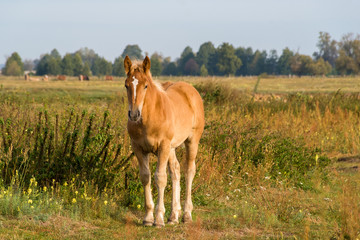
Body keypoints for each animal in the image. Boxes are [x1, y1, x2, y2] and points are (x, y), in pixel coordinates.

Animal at [124, 55, 204, 227]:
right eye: (126, 85)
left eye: (146, 85)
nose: (134, 114)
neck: (150, 116)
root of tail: (191, 90)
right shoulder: (138, 148)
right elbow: (145, 177)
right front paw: (148, 218)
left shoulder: (163, 146)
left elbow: (160, 178)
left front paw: (159, 219)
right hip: (171, 148)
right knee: (176, 170)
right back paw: (173, 216)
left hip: (191, 141)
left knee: (189, 170)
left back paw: (186, 214)